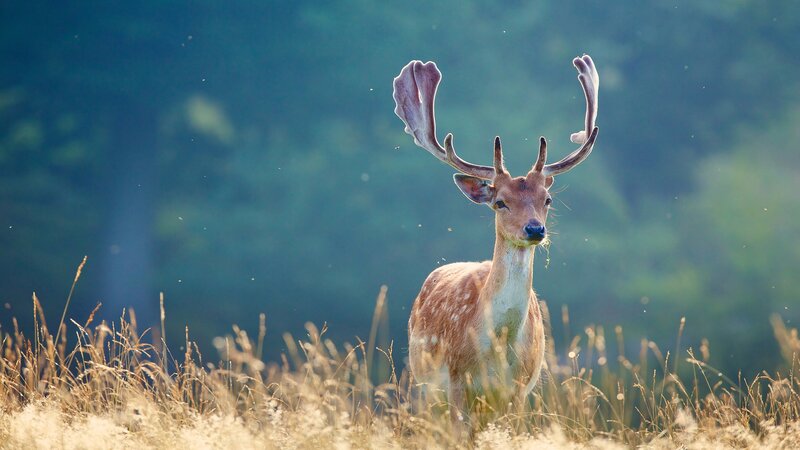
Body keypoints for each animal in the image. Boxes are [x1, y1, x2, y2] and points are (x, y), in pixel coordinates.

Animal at [392, 55, 599, 428]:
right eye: (500, 202)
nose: (535, 229)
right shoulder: (456, 382)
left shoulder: (519, 390)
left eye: (547, 199)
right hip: (423, 385)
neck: (498, 349)